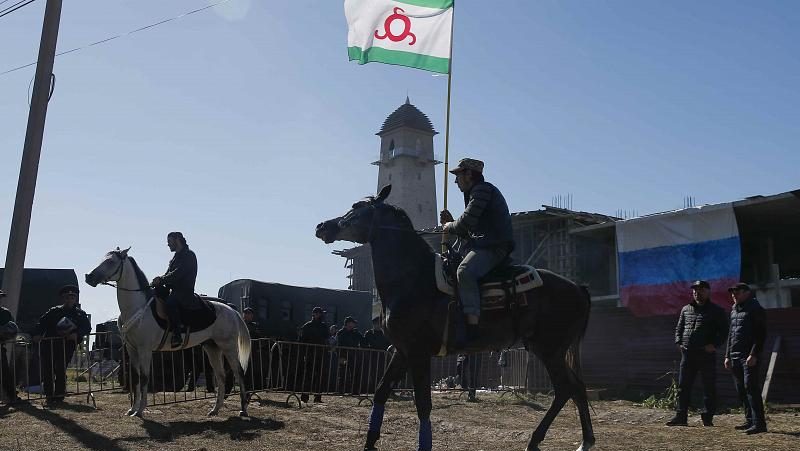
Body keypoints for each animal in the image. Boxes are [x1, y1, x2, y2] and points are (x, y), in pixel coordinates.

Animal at [85, 248, 252, 418]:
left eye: (111, 261)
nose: (89, 277)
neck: (138, 308)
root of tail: (232, 310)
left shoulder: (145, 350)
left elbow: (145, 377)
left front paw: (140, 410)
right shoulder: (132, 350)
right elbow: (136, 377)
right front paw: (132, 409)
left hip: (228, 347)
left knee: (238, 372)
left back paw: (243, 409)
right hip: (212, 348)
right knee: (221, 376)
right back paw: (215, 409)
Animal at [315, 185, 595, 451]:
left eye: (357, 207)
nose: (323, 226)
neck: (413, 279)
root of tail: (577, 288)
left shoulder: (418, 352)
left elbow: (423, 404)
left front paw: (423, 444)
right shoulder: (401, 351)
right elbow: (381, 392)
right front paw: (370, 441)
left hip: (549, 350)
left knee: (565, 389)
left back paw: (536, 440)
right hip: (554, 351)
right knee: (578, 388)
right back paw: (585, 441)